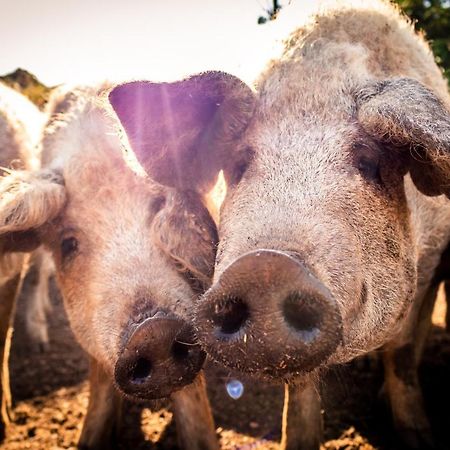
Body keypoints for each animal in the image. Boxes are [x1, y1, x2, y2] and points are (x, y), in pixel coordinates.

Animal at [108, 1, 450, 448]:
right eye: (238, 165)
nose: (265, 268)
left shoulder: (430, 263)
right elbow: (300, 393)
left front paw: (418, 436)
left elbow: (403, 352)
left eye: (369, 161)